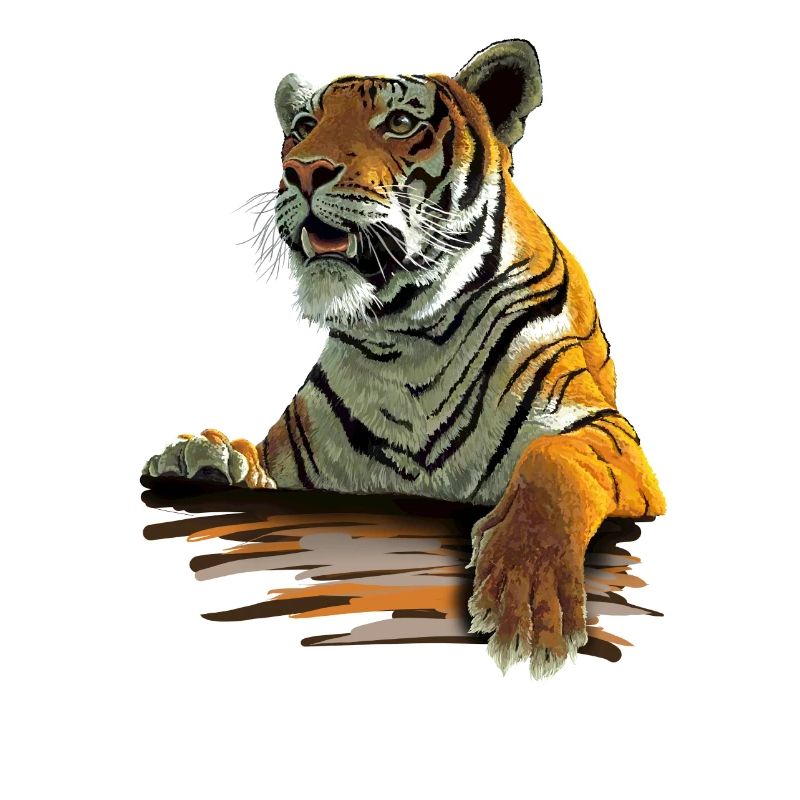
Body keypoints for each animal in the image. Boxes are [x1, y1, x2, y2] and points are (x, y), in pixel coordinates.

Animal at [144, 39, 666, 679]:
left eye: (398, 123)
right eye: (304, 126)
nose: (303, 170)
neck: (406, 342)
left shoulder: (604, 432)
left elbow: (554, 465)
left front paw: (527, 603)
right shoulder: (297, 468)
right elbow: (253, 460)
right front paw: (201, 457)